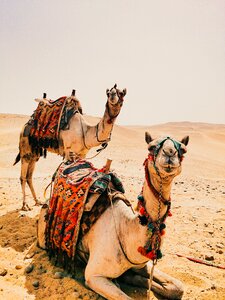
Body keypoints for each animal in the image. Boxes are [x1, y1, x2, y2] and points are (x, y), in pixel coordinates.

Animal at [37, 132, 189, 298]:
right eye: (151, 147)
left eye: (183, 149)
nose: (169, 153)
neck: (126, 232)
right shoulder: (93, 276)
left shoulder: (140, 263)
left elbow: (178, 287)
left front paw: (131, 278)